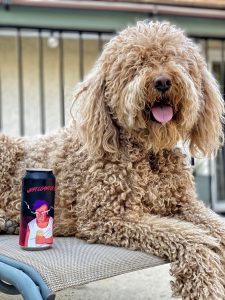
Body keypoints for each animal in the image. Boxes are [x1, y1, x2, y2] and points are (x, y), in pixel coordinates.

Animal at [0, 20, 225, 298]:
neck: (148, 154)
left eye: (177, 60)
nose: (162, 81)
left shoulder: (185, 205)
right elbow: (192, 238)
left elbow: (216, 226)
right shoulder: (107, 217)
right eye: (136, 65)